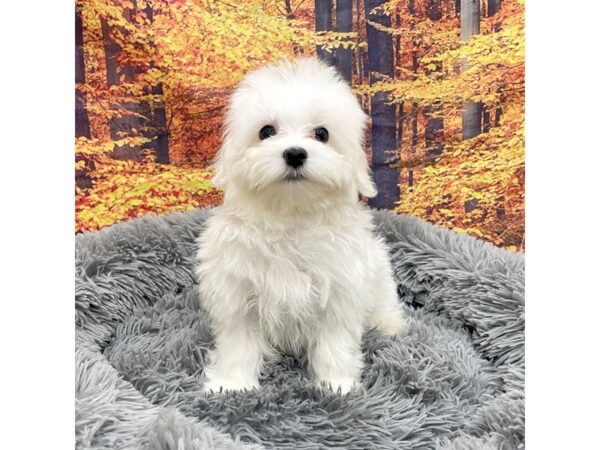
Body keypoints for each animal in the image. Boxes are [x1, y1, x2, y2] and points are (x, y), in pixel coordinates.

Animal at [197, 56, 408, 394]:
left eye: (322, 134)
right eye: (266, 131)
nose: (295, 153)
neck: (291, 218)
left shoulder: (339, 290)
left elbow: (335, 343)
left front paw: (337, 385)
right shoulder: (237, 291)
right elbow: (238, 343)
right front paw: (231, 385)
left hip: (380, 276)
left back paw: (389, 324)